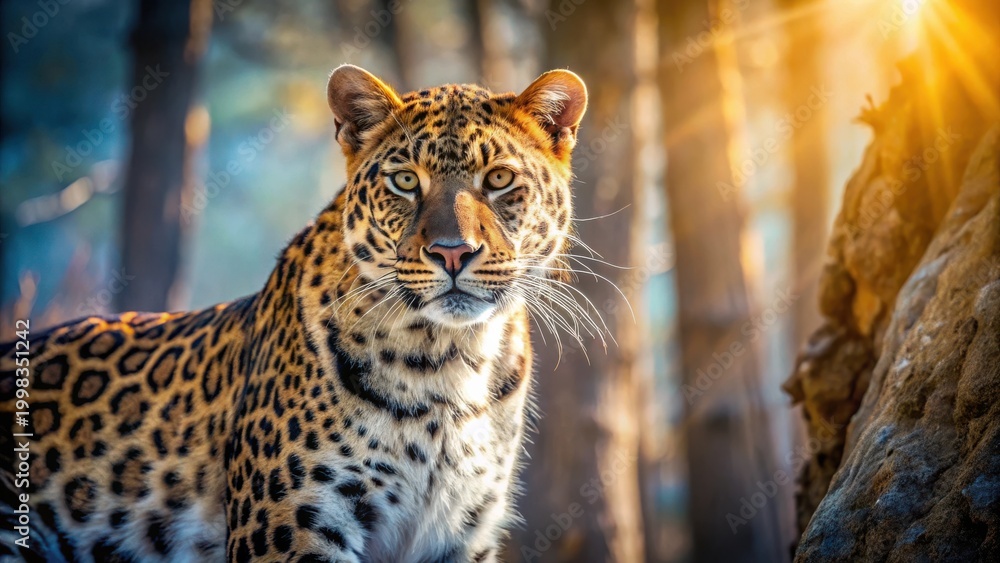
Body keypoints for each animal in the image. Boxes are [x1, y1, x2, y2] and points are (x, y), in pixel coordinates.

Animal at [0, 64, 588, 562]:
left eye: (498, 179)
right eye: (404, 181)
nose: (452, 252)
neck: (450, 362)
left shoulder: (460, 534)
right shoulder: (296, 528)